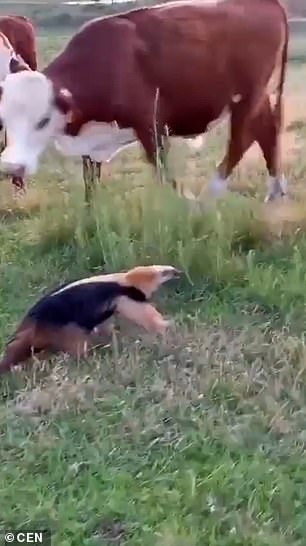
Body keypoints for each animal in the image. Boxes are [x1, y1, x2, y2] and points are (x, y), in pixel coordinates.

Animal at [0, 0, 290, 202]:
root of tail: (268, 3)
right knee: (267, 131)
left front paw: (180, 206)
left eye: (43, 120)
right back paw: (275, 193)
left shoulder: (151, 125)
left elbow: (163, 173)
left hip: (248, 95)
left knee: (242, 138)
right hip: (259, 97)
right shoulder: (92, 142)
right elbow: (90, 181)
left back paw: (210, 195)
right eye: (5, 120)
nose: (11, 166)